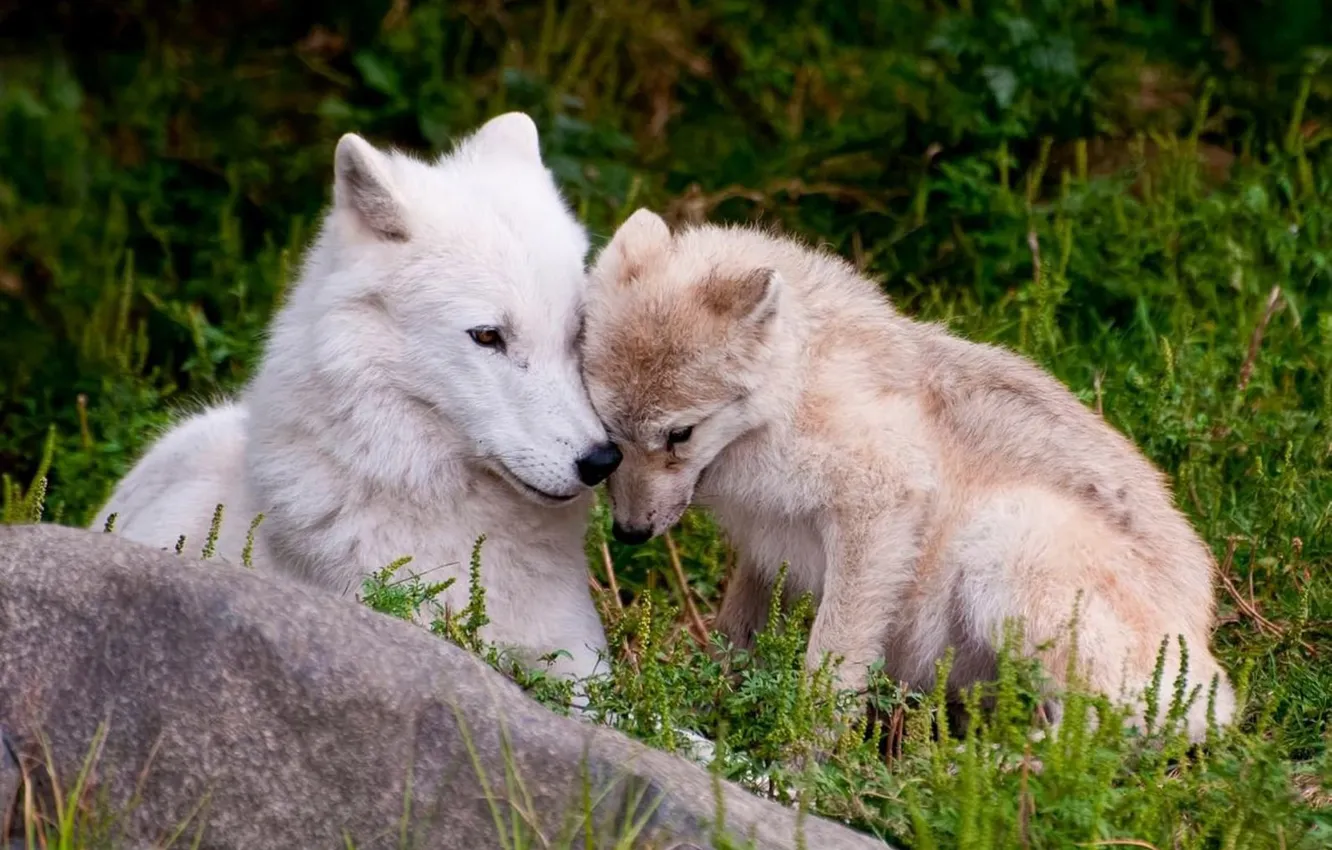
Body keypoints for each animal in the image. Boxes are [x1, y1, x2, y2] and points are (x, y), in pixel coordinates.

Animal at [578, 209, 1236, 740]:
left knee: (1096, 734)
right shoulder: (769, 555)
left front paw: (799, 756)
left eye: (679, 435)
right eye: (610, 434)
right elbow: (734, 636)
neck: (796, 392)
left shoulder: (878, 504)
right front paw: (708, 708)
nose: (630, 533)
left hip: (1004, 541)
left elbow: (830, 662)